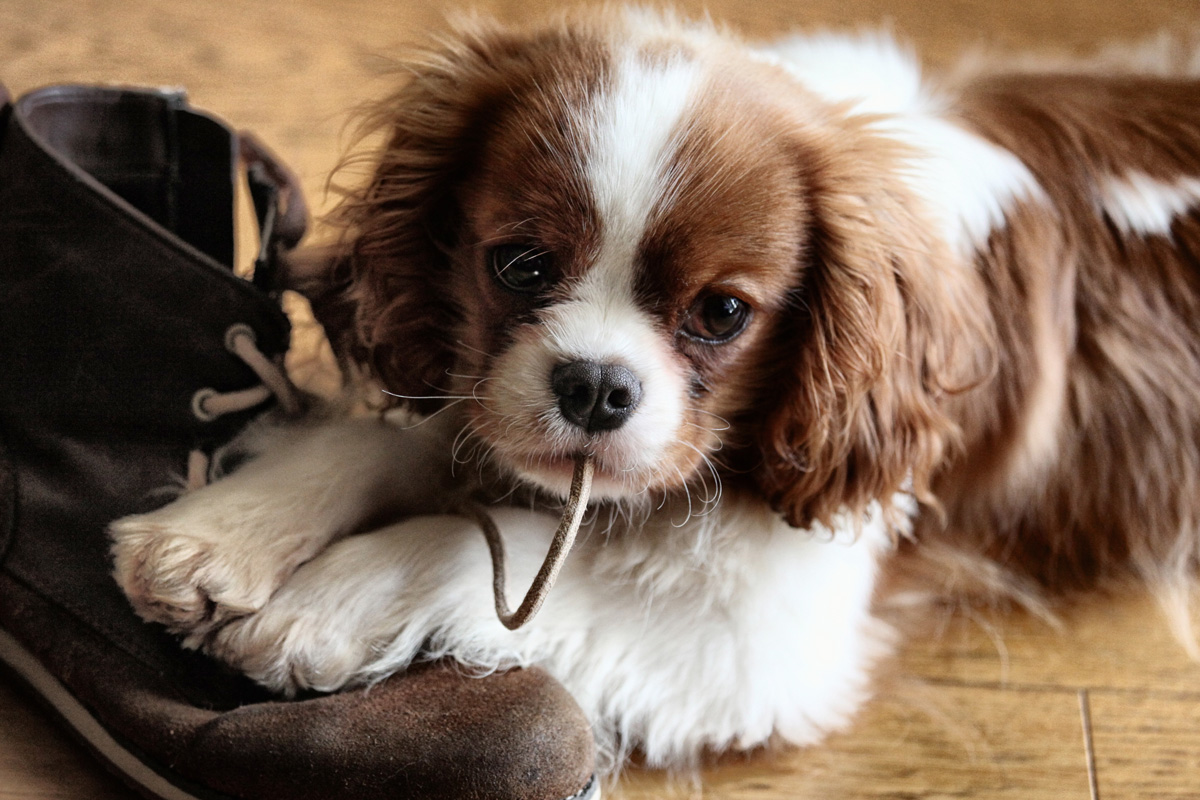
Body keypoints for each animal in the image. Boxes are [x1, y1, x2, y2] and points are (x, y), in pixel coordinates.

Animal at [110, 6, 1200, 772]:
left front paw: (324, 603)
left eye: (722, 312)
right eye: (519, 266)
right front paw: (224, 528)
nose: (595, 388)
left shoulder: (759, 642)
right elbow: (396, 438)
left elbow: (478, 537)